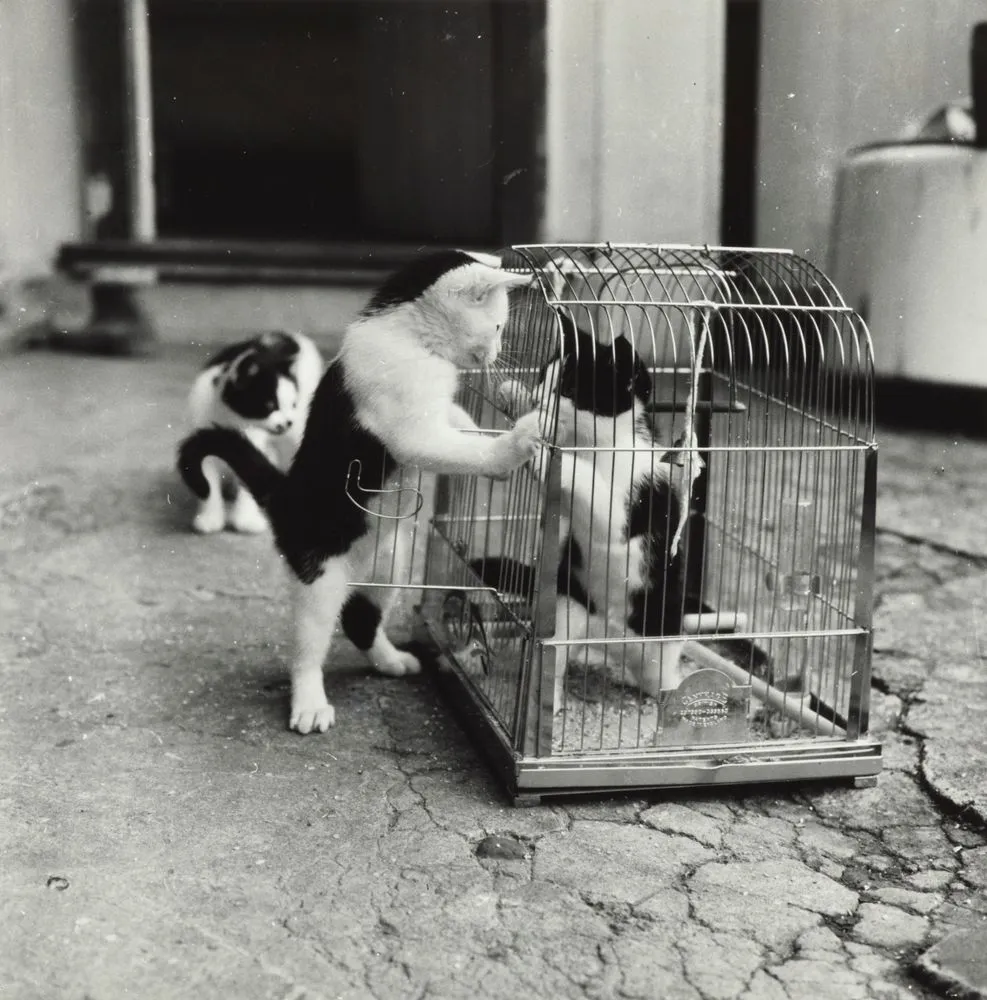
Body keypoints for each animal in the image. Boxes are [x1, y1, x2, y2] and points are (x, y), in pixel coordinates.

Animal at [183, 330, 322, 536]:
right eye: (270, 406)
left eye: (293, 404)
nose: (288, 421)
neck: (232, 419)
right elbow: (208, 482)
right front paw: (210, 518)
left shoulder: (258, 446)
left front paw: (246, 521)